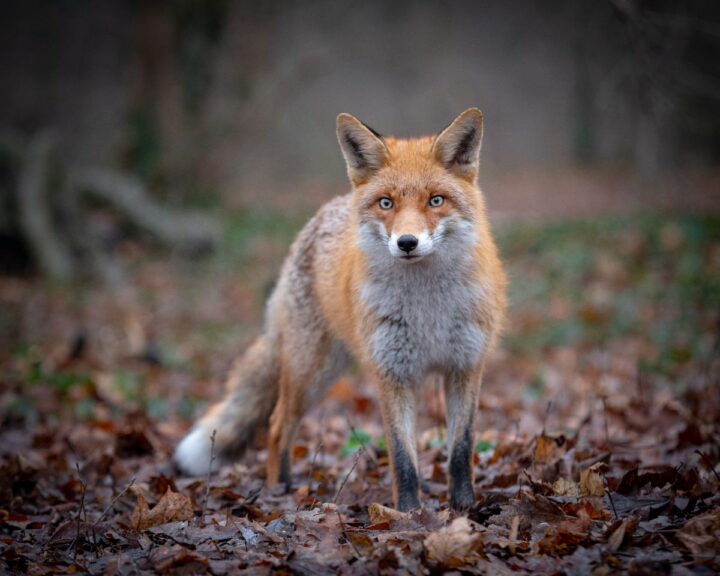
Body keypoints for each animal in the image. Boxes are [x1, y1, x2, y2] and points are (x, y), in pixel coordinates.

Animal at [175, 108, 507, 511]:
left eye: (436, 200)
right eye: (386, 203)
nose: (407, 242)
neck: (427, 309)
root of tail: (323, 212)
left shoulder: (465, 366)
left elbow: (460, 450)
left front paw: (464, 508)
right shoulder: (391, 372)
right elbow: (402, 457)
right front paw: (409, 513)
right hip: (311, 373)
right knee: (276, 425)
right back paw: (279, 490)